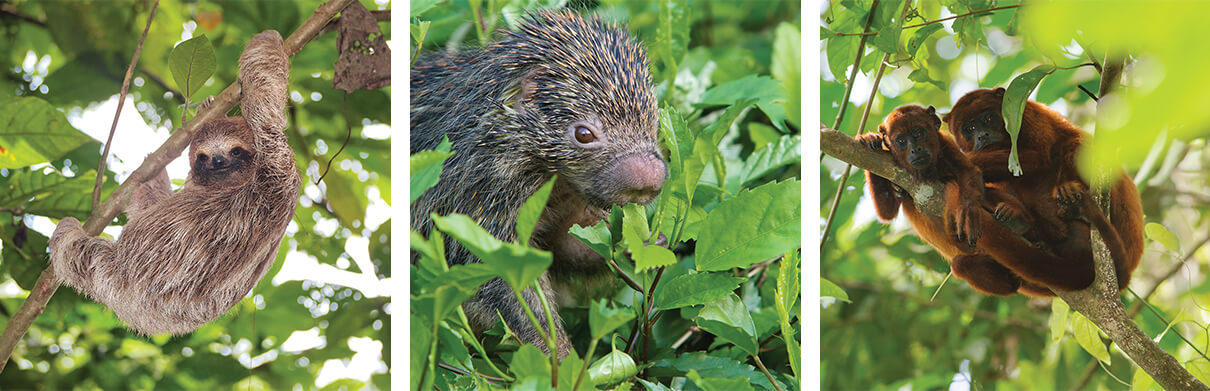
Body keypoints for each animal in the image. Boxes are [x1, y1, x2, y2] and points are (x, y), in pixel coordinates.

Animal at [49, 31, 300, 336]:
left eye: (235, 151)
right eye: (203, 156)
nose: (218, 160)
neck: (234, 186)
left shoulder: (278, 171)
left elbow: (265, 109)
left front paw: (268, 39)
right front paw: (207, 107)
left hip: (111, 273)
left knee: (79, 252)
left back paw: (68, 230)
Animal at [861, 105, 1098, 295]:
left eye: (919, 133)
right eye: (901, 141)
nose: (915, 149)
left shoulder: (946, 145)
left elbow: (971, 173)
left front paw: (965, 205)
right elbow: (886, 213)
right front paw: (870, 140)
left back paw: (1019, 221)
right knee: (962, 266)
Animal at [943, 87, 1142, 292]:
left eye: (989, 118)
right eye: (969, 129)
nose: (982, 136)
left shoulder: (1027, 116)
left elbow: (1038, 157)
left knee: (1075, 145)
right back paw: (1019, 220)